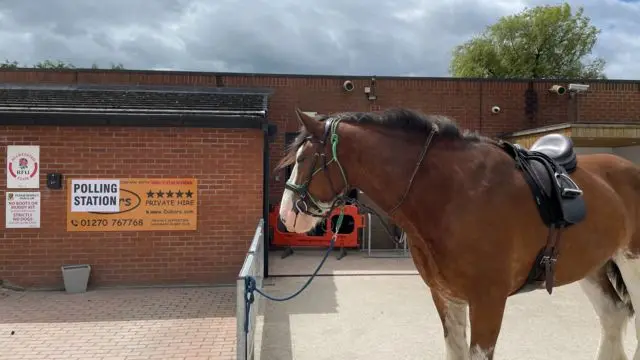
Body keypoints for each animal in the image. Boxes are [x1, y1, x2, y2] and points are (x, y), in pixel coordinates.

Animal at [278, 108, 640, 360]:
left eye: (305, 159)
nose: (285, 217)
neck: (455, 194)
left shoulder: (488, 301)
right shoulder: (446, 296)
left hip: (632, 263)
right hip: (591, 266)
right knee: (613, 316)